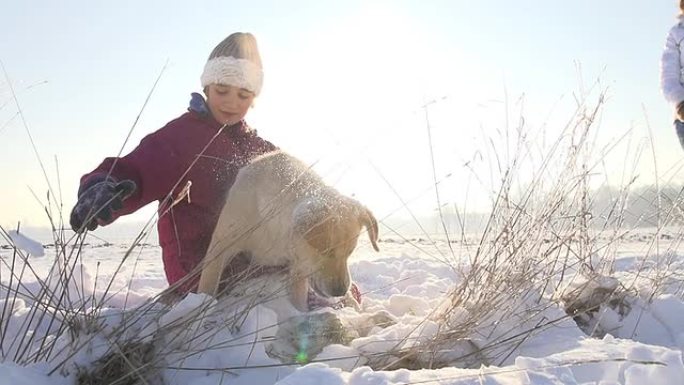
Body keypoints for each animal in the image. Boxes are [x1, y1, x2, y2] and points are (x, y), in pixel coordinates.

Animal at [196, 151, 380, 312]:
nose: (340, 291)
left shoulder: (299, 266)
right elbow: (207, 287)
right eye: (326, 252)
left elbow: (299, 300)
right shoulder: (220, 248)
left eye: (350, 252)